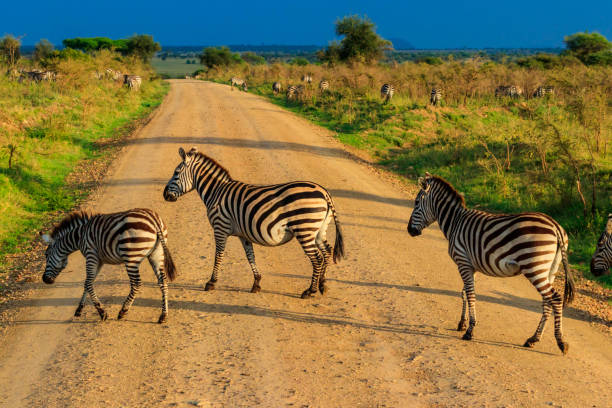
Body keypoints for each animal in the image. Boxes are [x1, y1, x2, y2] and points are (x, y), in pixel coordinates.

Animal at [41, 209, 177, 324]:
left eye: (46, 255)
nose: (44, 280)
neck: (80, 236)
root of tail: (153, 219)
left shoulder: (91, 255)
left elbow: (89, 283)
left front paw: (102, 313)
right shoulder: (99, 260)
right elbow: (87, 282)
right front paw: (79, 309)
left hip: (131, 257)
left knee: (136, 283)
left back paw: (123, 311)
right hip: (157, 254)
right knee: (163, 281)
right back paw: (163, 316)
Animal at [163, 148, 344, 298]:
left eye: (176, 173)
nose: (164, 195)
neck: (216, 192)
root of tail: (324, 192)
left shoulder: (220, 228)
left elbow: (218, 255)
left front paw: (211, 282)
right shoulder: (244, 234)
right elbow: (250, 256)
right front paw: (256, 283)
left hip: (305, 229)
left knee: (317, 258)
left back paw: (310, 291)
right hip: (318, 230)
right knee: (327, 251)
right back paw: (322, 285)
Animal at [408, 174, 576, 356]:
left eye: (416, 203)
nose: (410, 230)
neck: (455, 222)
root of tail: (555, 226)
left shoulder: (463, 261)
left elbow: (470, 294)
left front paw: (470, 331)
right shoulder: (470, 265)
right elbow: (464, 292)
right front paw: (462, 323)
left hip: (534, 267)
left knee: (555, 299)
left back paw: (561, 342)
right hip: (549, 269)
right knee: (547, 301)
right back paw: (533, 339)